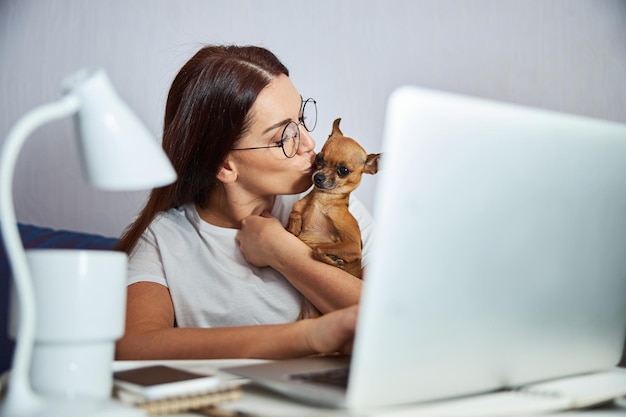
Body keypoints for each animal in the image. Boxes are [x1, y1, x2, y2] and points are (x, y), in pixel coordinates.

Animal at [286, 118, 378, 318]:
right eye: (319, 158)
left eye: (344, 170)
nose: (318, 177)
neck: (321, 201)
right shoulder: (296, 217)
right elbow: (295, 211)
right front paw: (295, 225)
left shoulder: (353, 246)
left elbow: (318, 249)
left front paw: (333, 261)